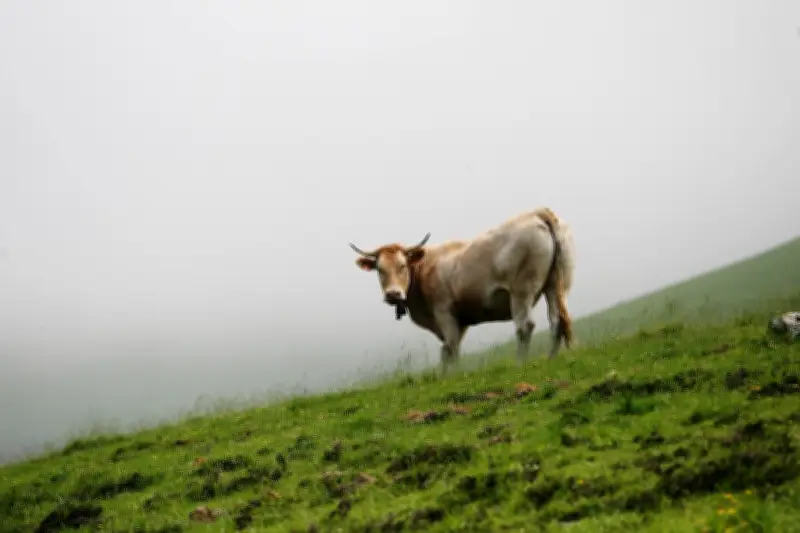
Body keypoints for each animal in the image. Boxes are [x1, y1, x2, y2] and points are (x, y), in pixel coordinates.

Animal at [349, 207, 575, 374]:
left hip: (522, 291)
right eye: (379, 269)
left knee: (525, 326)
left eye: (403, 265)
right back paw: (551, 358)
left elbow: (450, 347)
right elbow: (450, 349)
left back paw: (520, 364)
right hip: (555, 285)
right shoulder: (461, 319)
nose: (393, 294)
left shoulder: (444, 312)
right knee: (557, 320)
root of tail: (537, 213)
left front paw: (451, 377)